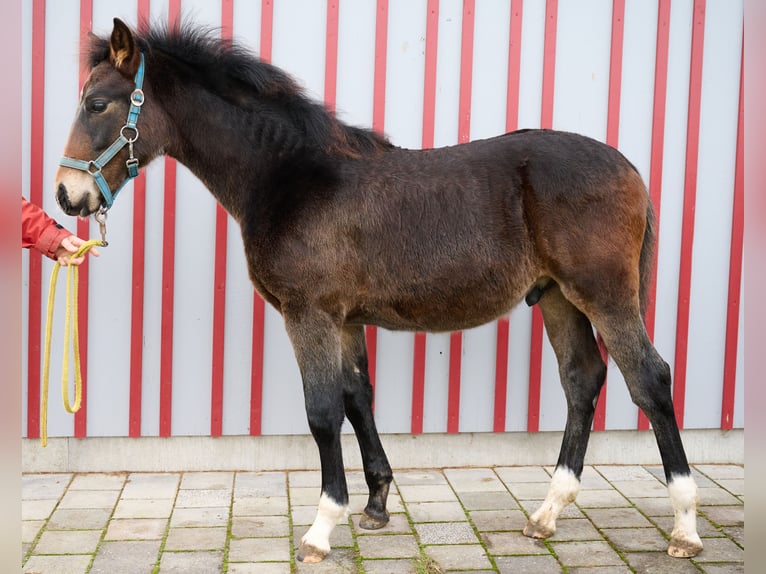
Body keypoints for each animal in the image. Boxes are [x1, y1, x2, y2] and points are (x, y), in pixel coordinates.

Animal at [52, 20, 704, 564]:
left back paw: (684, 526)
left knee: (650, 379)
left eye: (97, 103)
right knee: (582, 380)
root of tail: (629, 168)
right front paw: (374, 507)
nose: (65, 195)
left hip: (604, 295)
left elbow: (321, 411)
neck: (290, 176)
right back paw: (547, 513)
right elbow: (357, 398)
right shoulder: (344, 318)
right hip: (558, 298)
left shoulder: (309, 314)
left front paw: (321, 528)